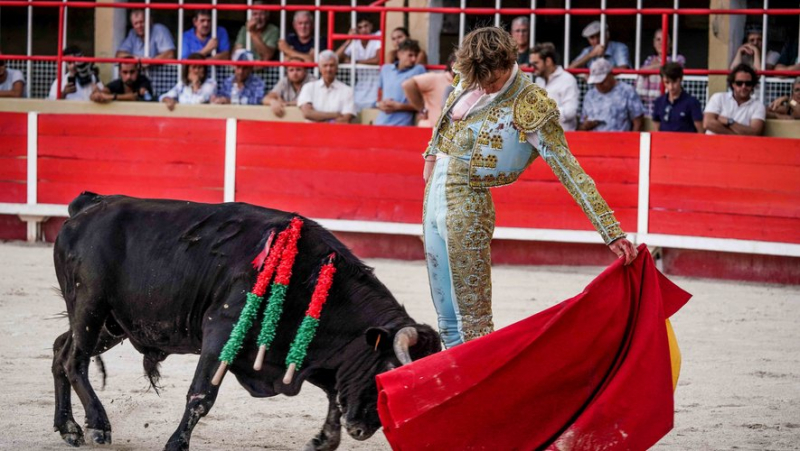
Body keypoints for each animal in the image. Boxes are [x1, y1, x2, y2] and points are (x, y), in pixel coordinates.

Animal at [51, 192, 438, 450]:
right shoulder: (221, 330)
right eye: (387, 370)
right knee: (74, 359)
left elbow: (332, 392)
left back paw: (69, 427)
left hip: (113, 323)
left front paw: (324, 439)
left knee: (59, 350)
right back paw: (97, 425)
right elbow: (201, 396)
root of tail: (89, 206)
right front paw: (176, 444)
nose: (363, 429)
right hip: (90, 306)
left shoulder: (297, 353)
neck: (311, 278)